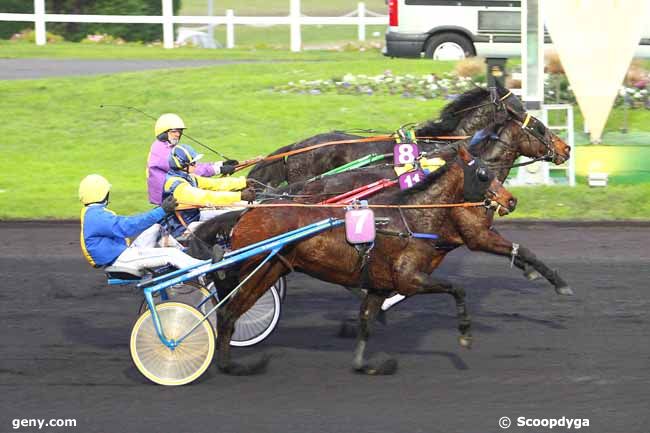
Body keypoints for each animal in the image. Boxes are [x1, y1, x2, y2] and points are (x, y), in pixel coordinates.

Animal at [199, 146, 516, 374]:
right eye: (484, 173)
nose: (511, 200)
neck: (411, 218)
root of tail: (246, 213)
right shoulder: (409, 279)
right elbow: (457, 288)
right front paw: (465, 335)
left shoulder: (379, 284)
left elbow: (366, 321)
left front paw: (367, 364)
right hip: (260, 269)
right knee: (227, 312)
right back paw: (230, 365)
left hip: (269, 270)